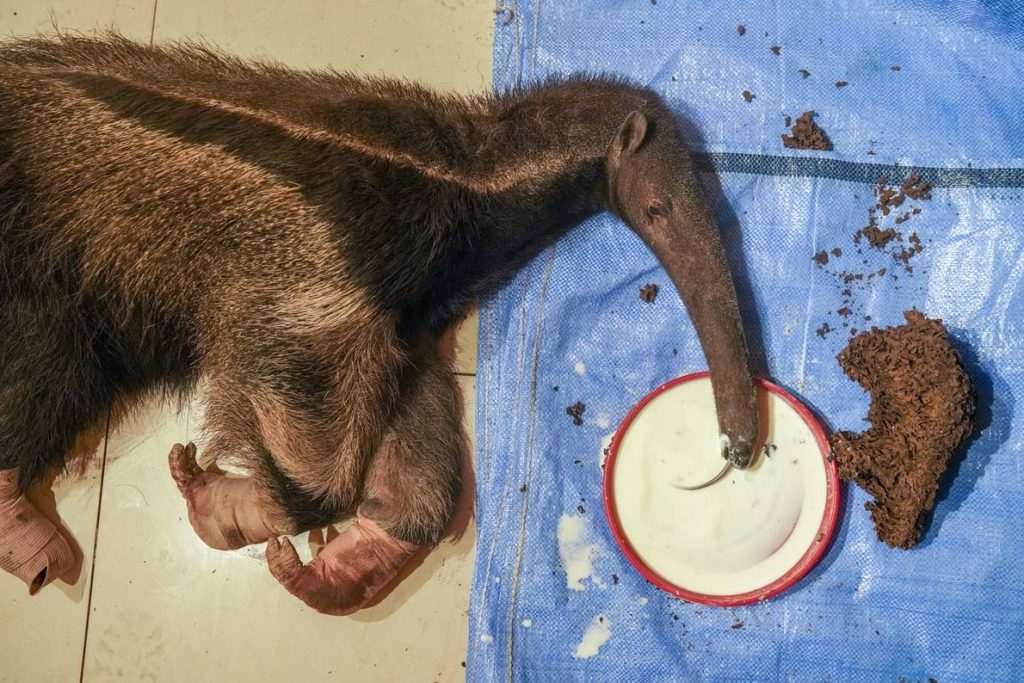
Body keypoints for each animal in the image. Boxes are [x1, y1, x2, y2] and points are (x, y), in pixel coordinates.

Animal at [0, 33, 759, 614]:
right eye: (659, 209)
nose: (739, 445)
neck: (461, 174)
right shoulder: (319, 258)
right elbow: (309, 406)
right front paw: (241, 504)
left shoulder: (409, 309)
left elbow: (412, 436)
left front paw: (348, 559)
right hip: (40, 251)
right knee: (43, 367)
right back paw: (23, 523)